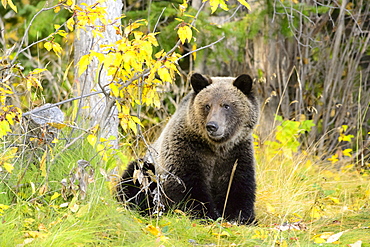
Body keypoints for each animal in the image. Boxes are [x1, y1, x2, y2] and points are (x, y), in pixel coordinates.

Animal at [117, 72, 258, 225]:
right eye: (207, 105)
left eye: (226, 105)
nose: (212, 126)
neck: (217, 147)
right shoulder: (186, 149)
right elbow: (188, 188)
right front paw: (208, 214)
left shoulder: (236, 153)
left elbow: (239, 186)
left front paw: (240, 217)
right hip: (150, 168)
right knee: (135, 178)